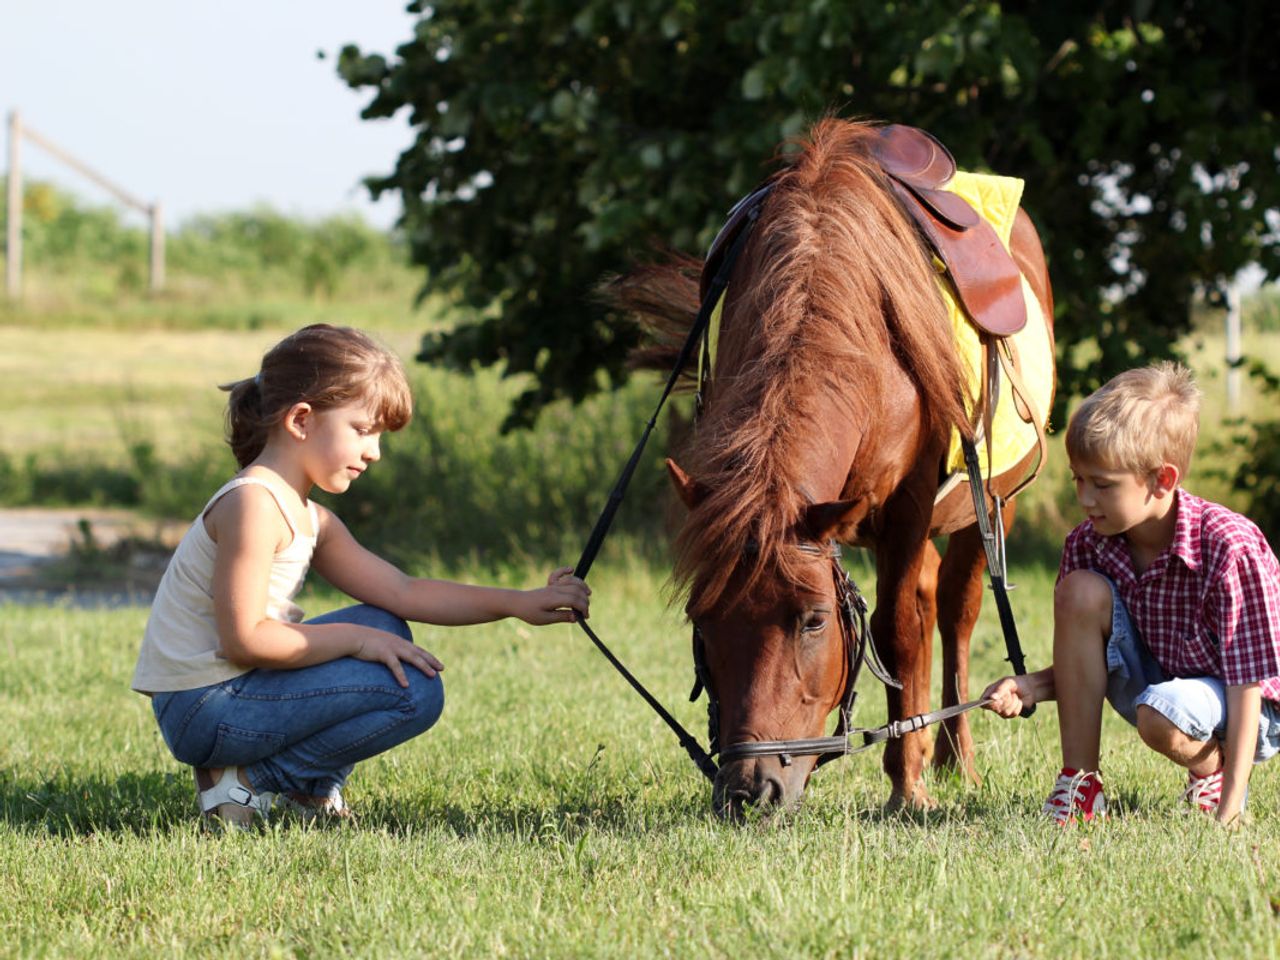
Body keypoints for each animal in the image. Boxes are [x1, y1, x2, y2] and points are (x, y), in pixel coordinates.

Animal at [609, 116, 1049, 814]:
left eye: (813, 620)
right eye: (701, 618)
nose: (750, 788)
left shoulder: (910, 506)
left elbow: (898, 633)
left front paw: (906, 787)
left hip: (988, 503)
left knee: (955, 610)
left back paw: (954, 758)